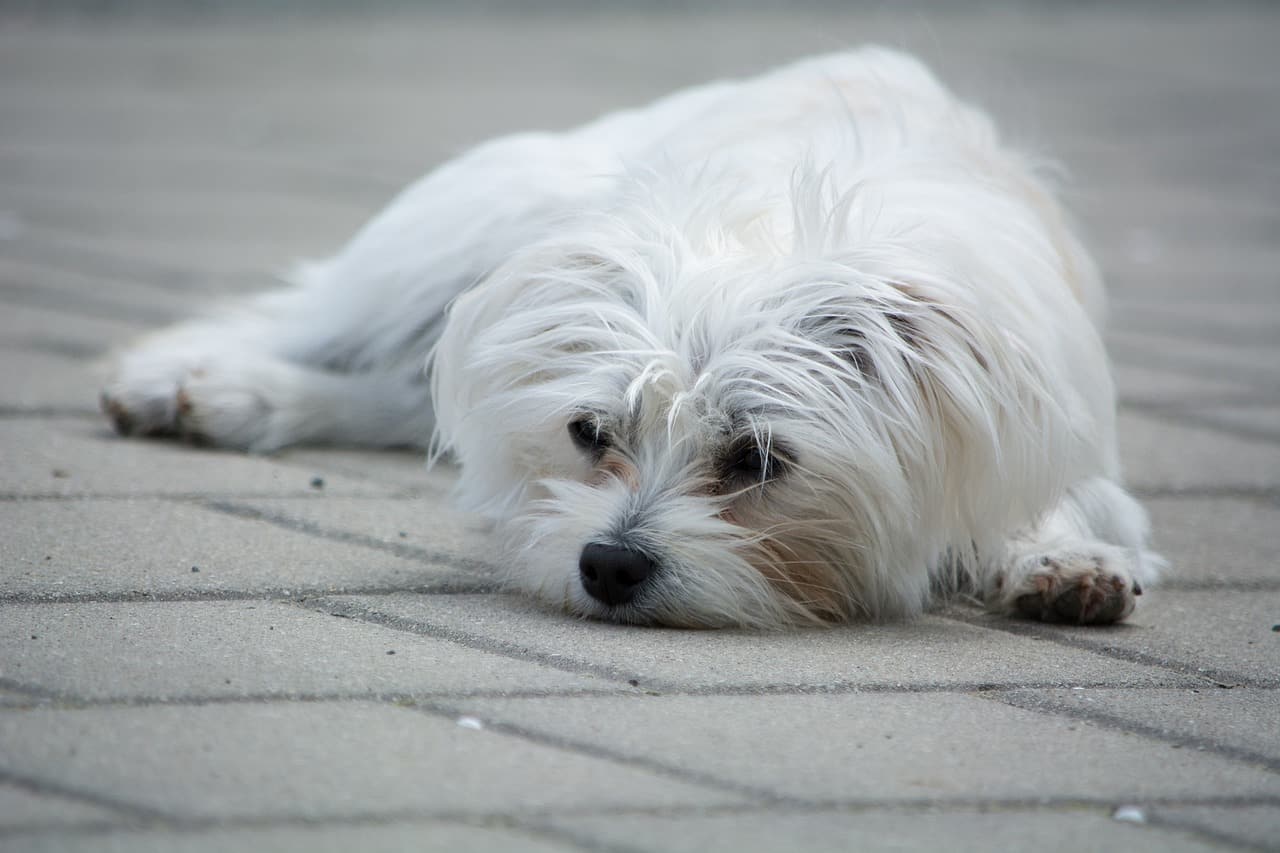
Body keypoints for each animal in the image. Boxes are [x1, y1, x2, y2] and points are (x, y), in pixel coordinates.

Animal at [102, 49, 1162, 627]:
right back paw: (199, 381)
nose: (607, 567)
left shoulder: (1054, 428)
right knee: (314, 321)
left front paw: (1065, 560)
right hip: (461, 233)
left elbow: (1063, 501)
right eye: (589, 433)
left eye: (758, 458)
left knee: (408, 398)